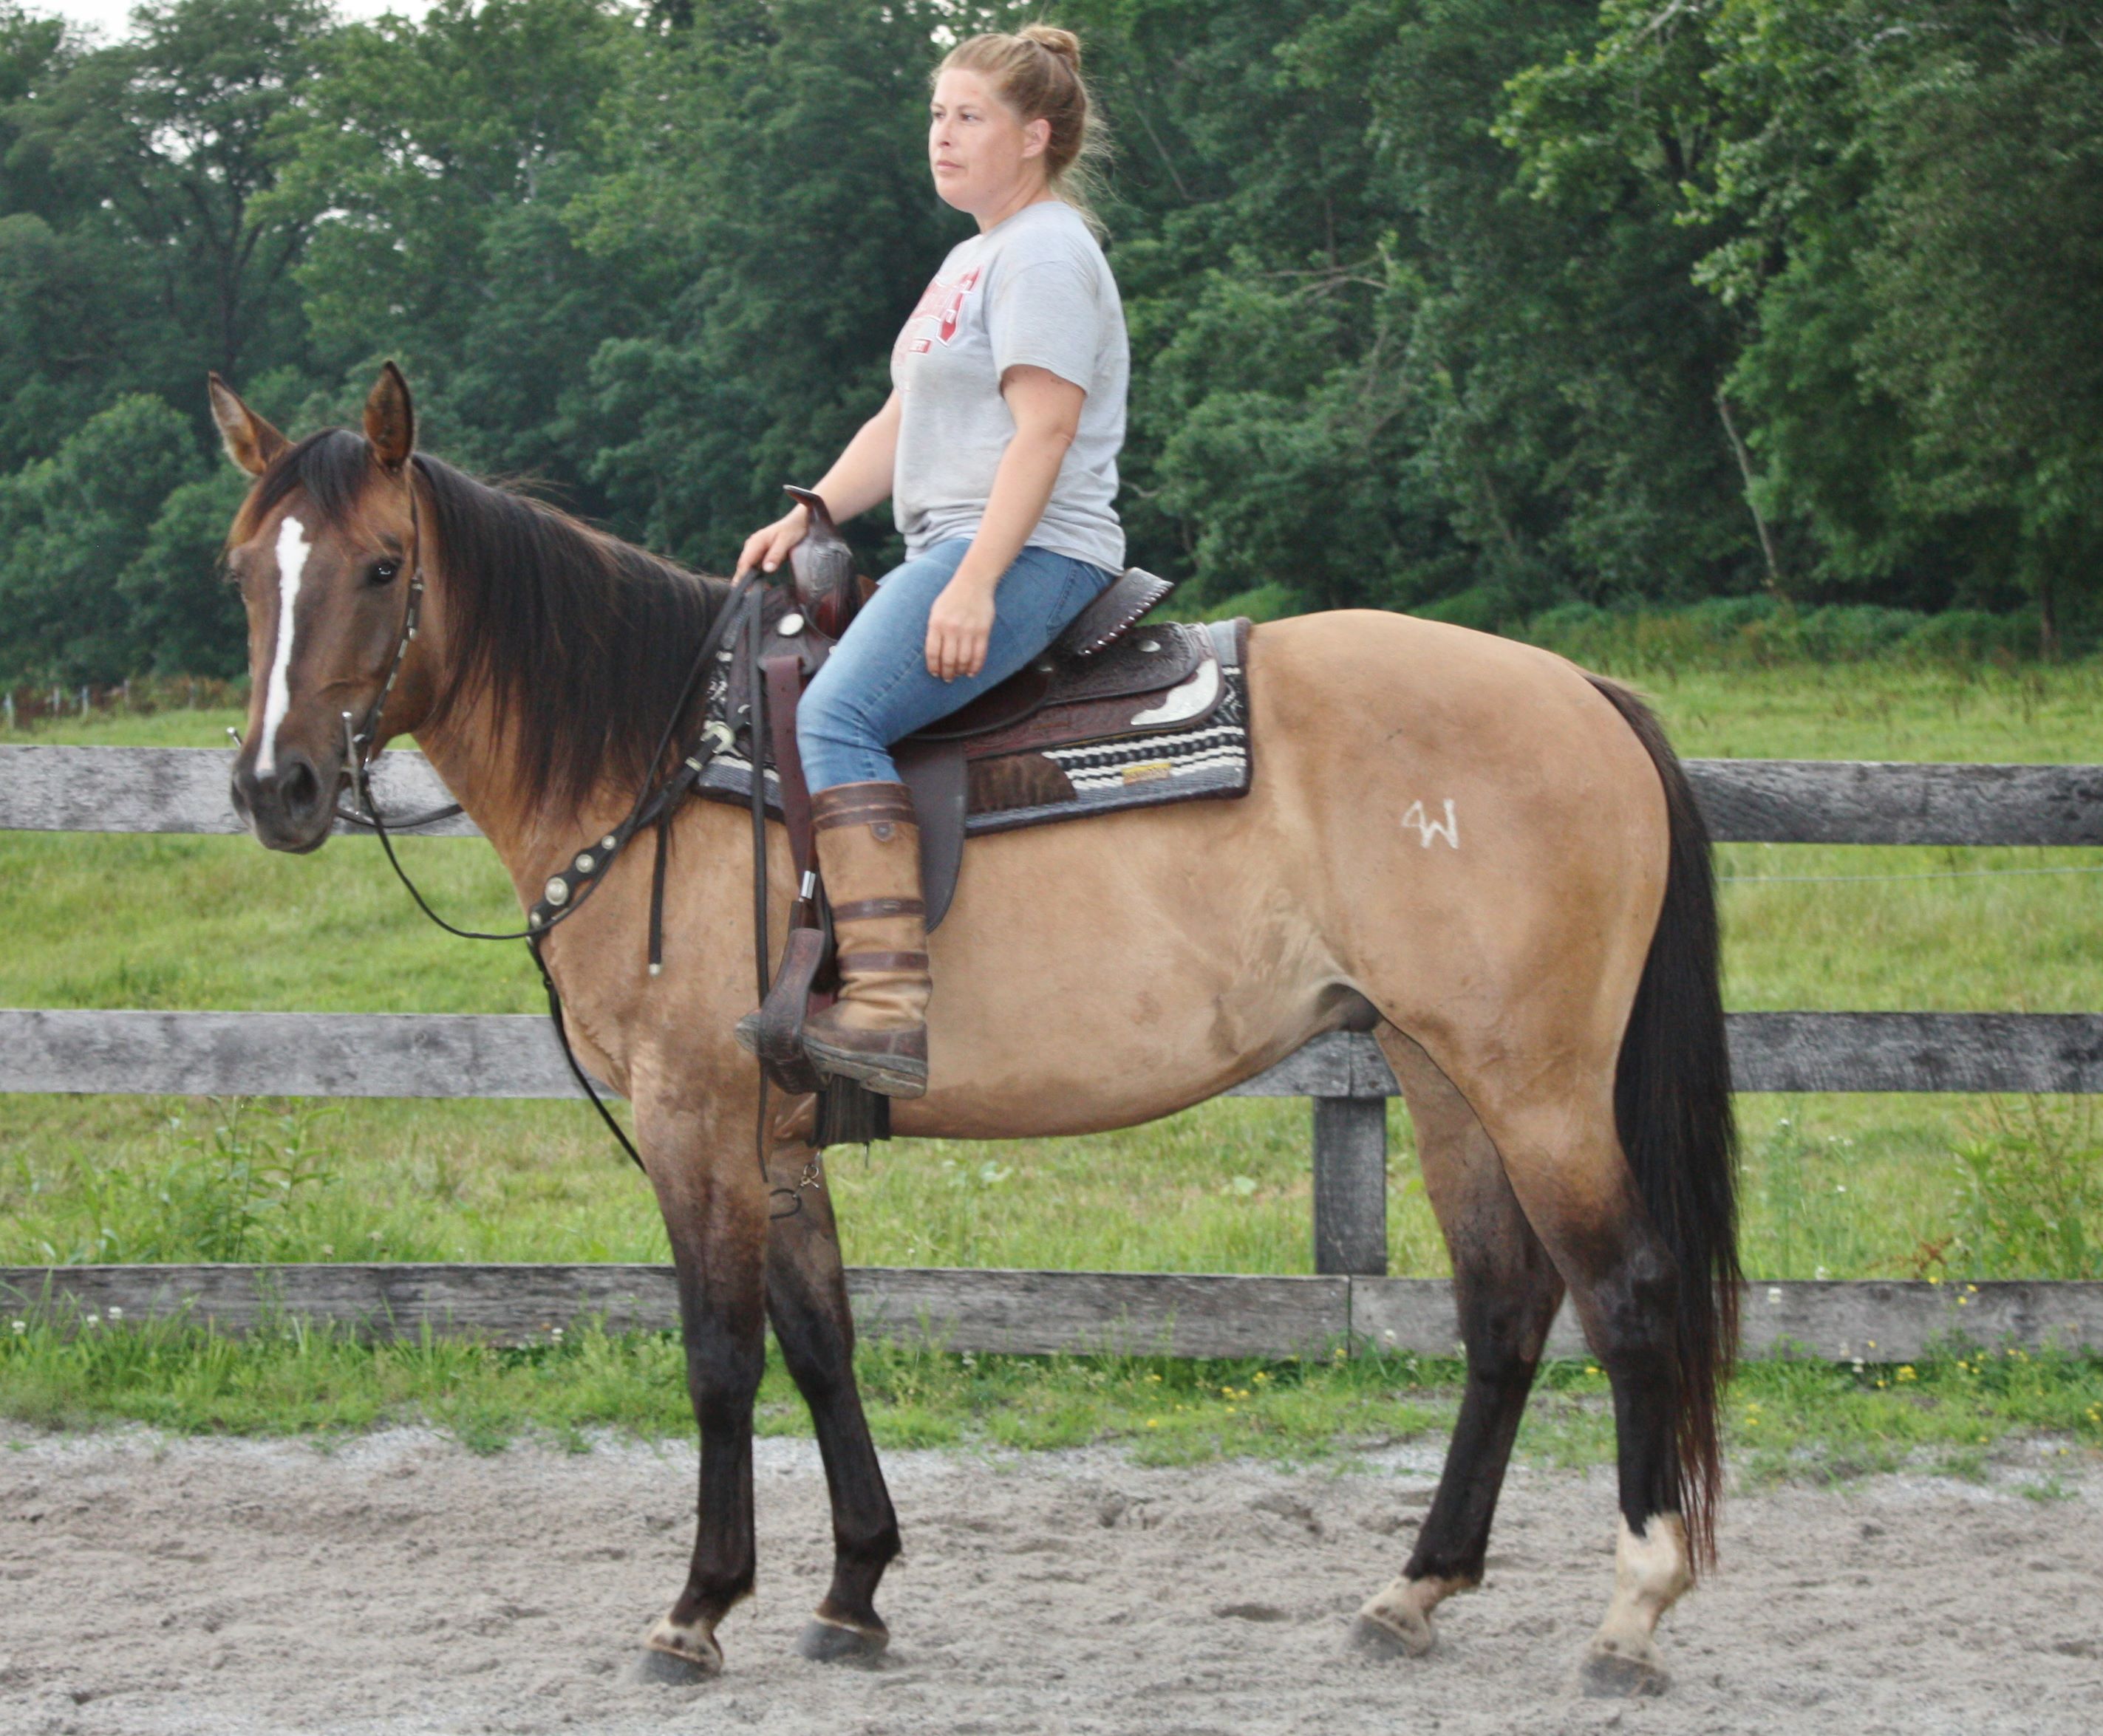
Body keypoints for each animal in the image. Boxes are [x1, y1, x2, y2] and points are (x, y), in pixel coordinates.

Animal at [208, 361, 1738, 1697]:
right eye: (243, 573)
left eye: (384, 568)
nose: (277, 788)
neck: (662, 753)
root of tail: (1580, 691)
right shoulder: (777, 1135)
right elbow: (820, 1341)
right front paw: (852, 1591)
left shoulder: (691, 1113)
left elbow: (719, 1355)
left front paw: (697, 1610)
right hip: (1438, 1070)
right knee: (1505, 1308)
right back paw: (1414, 1591)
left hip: (1534, 1083)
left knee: (1628, 1294)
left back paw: (1630, 1613)